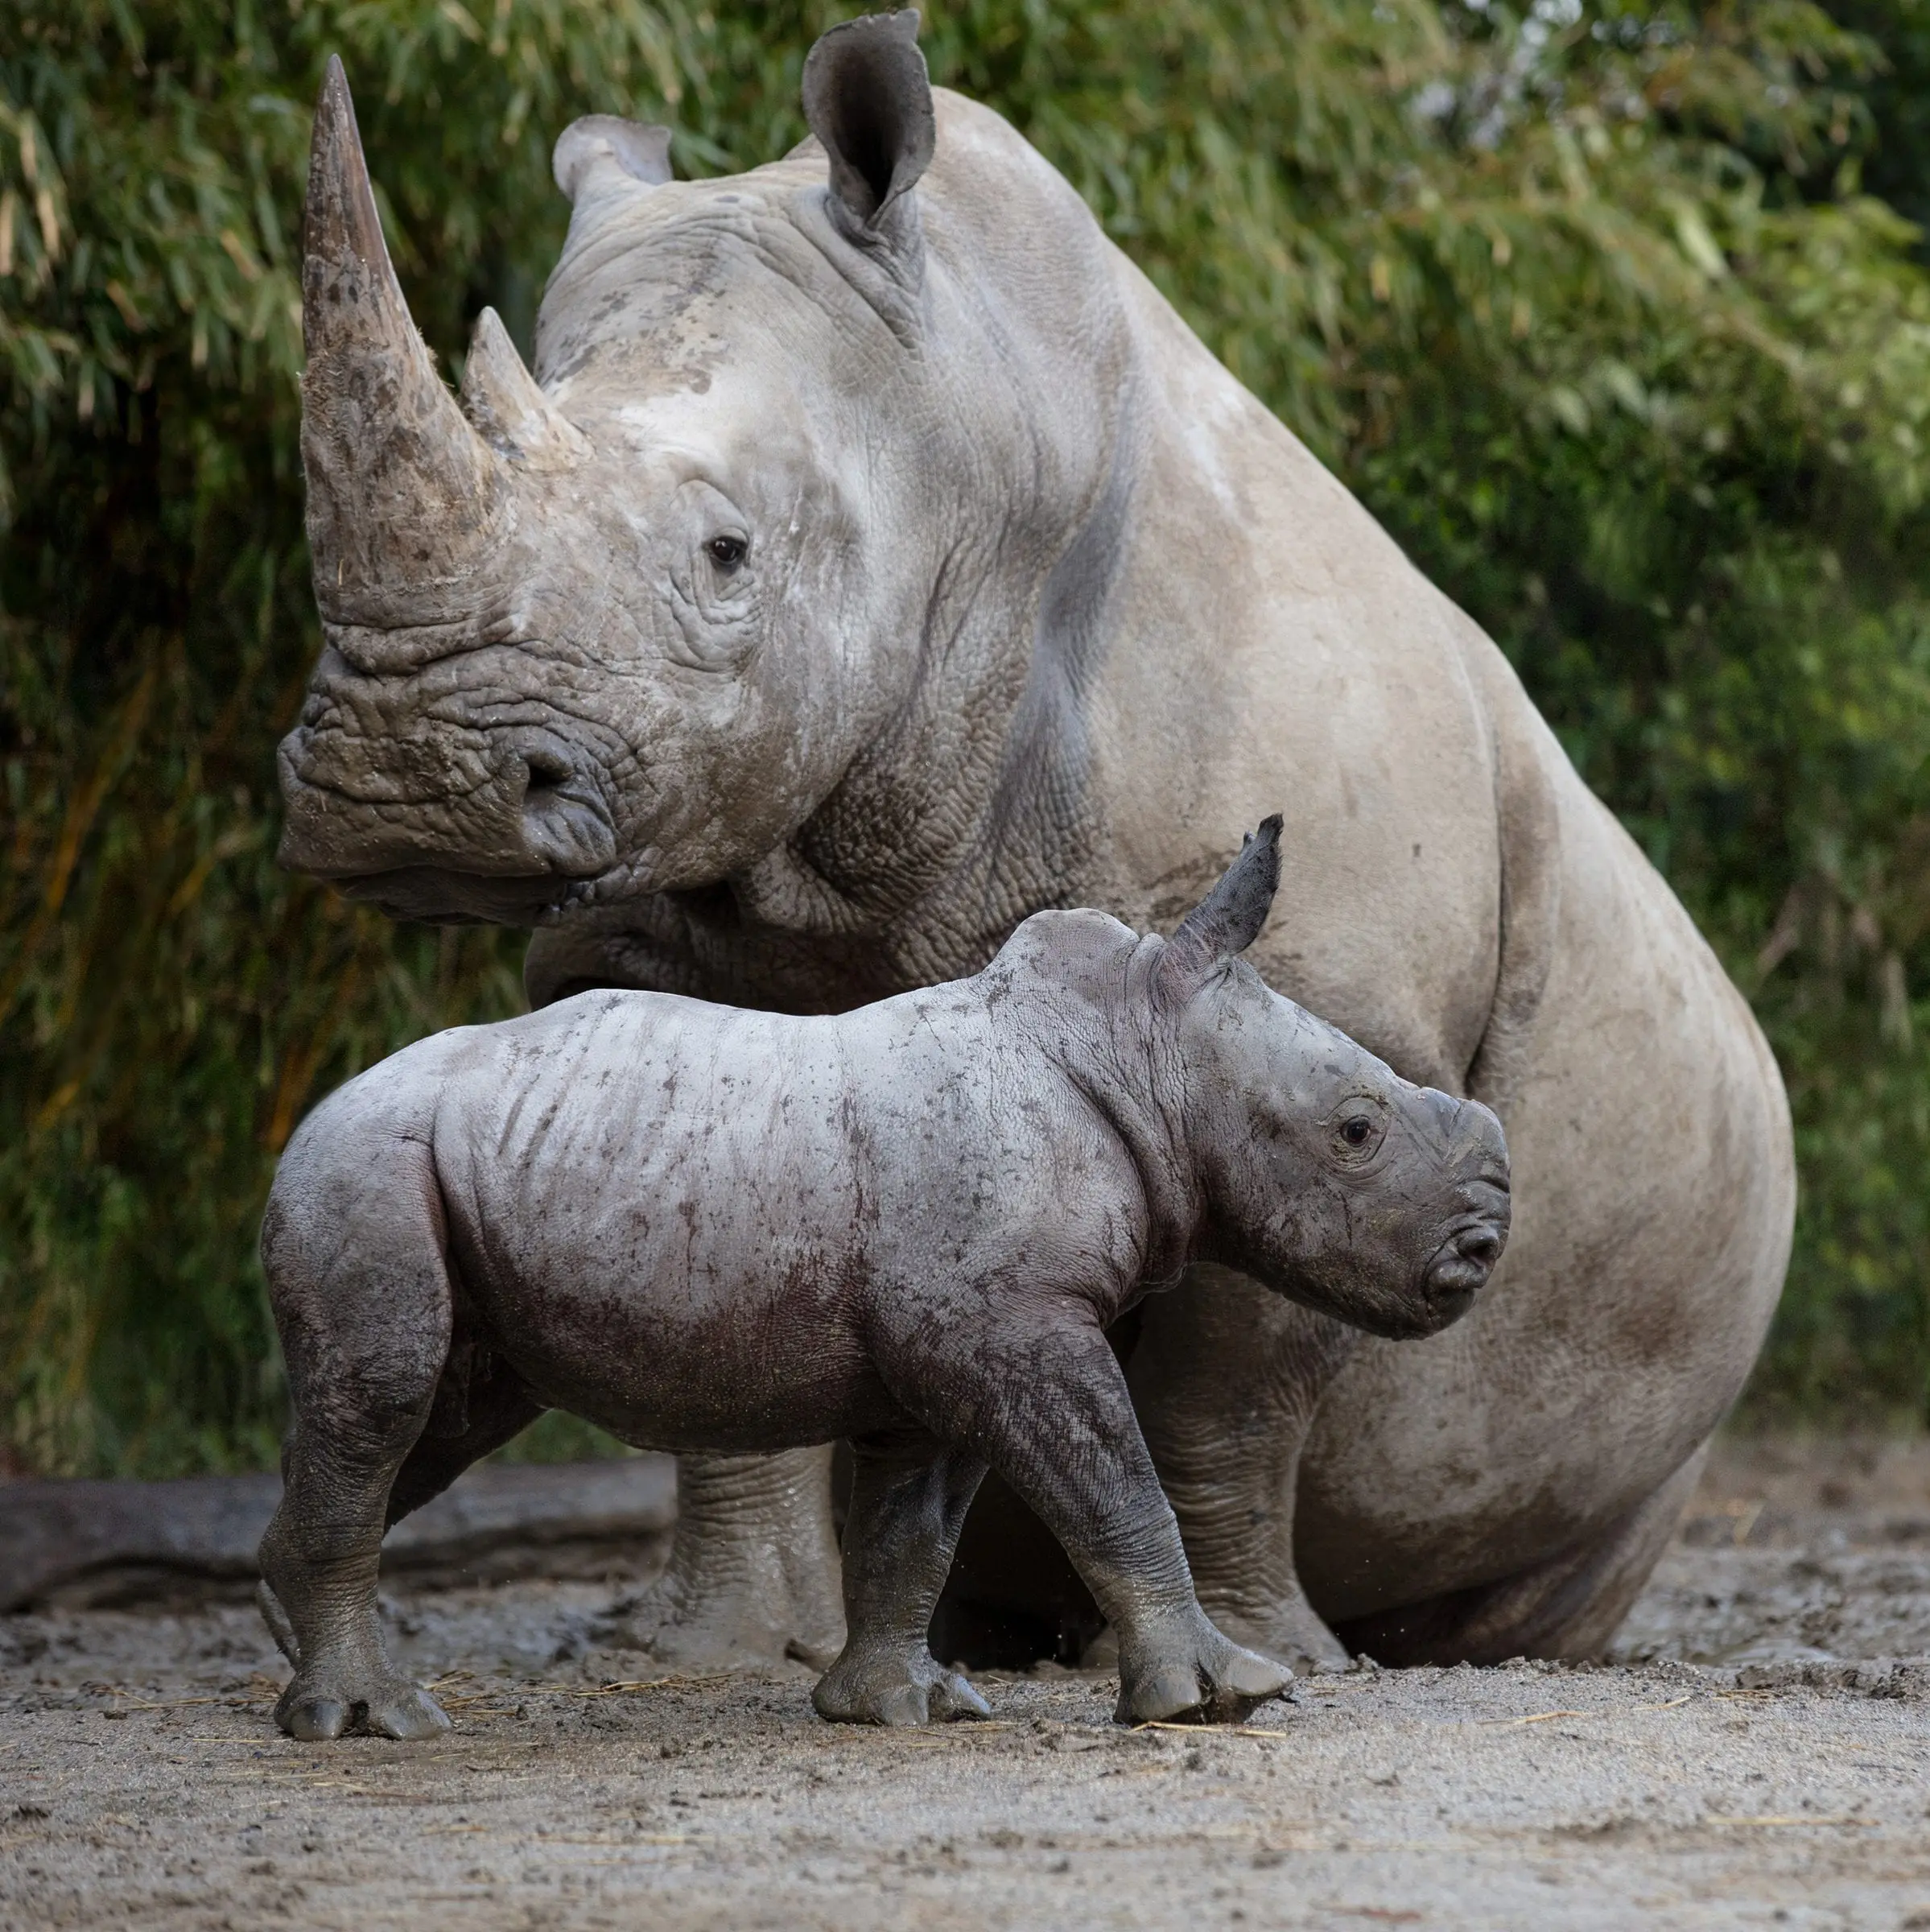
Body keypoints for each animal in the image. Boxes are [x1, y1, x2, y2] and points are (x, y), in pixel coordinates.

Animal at [254, 822, 1510, 1738]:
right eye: (1356, 1130)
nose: (1487, 1243)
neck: (1138, 1047)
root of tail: (309, 1113)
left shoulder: (961, 1340)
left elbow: (915, 1529)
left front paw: (902, 1709)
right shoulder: (1011, 1325)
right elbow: (1115, 1483)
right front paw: (1221, 1696)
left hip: (456, 1171)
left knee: (446, 1417)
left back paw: (294, 1644)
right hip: (363, 1164)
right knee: (389, 1393)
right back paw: (374, 1720)